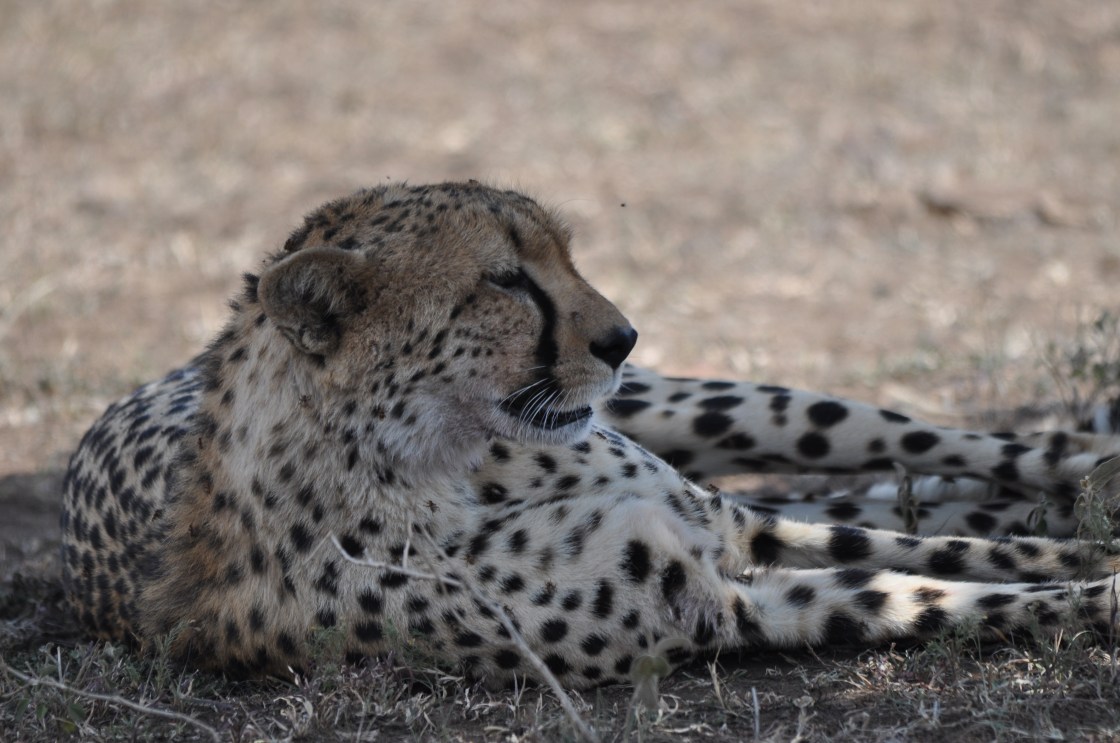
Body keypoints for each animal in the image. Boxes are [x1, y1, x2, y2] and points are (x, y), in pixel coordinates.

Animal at [61, 180, 1120, 689]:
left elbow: (976, 552)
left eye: (566, 255)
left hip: (731, 411)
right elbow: (952, 590)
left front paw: (1080, 543)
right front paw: (1095, 588)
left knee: (942, 453)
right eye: (504, 280)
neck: (458, 465)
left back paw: (1086, 462)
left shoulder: (725, 526)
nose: (622, 338)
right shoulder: (728, 601)